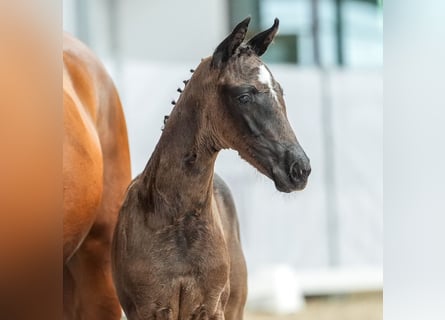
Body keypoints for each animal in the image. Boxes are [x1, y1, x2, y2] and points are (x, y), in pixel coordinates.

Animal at [112, 18, 308, 320]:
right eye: (244, 96)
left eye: (280, 92)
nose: (299, 168)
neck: (176, 218)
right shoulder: (148, 309)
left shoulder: (210, 308)